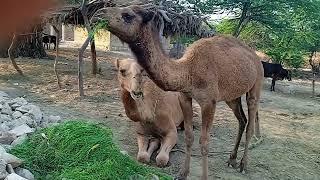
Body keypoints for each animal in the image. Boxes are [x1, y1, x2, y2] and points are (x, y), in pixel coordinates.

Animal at [92, 5, 262, 179]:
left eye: (127, 15)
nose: (98, 14)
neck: (188, 71)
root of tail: (255, 56)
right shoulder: (184, 97)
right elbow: (188, 136)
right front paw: (183, 173)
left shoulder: (209, 102)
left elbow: (204, 142)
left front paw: (203, 176)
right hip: (232, 96)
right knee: (242, 120)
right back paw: (232, 159)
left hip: (256, 84)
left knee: (250, 122)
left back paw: (243, 165)